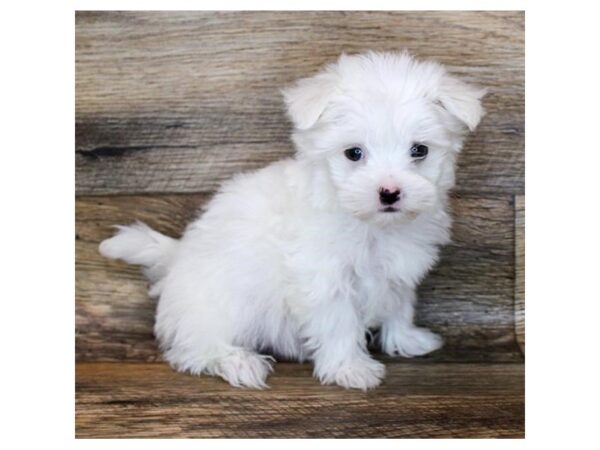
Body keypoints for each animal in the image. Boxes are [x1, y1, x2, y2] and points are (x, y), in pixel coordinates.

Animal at [97, 51, 482, 390]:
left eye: (419, 150)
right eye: (354, 153)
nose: (389, 193)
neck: (372, 226)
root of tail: (176, 258)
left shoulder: (398, 271)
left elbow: (399, 305)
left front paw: (407, 339)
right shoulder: (323, 277)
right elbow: (339, 323)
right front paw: (350, 369)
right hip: (218, 303)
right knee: (193, 346)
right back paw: (237, 361)